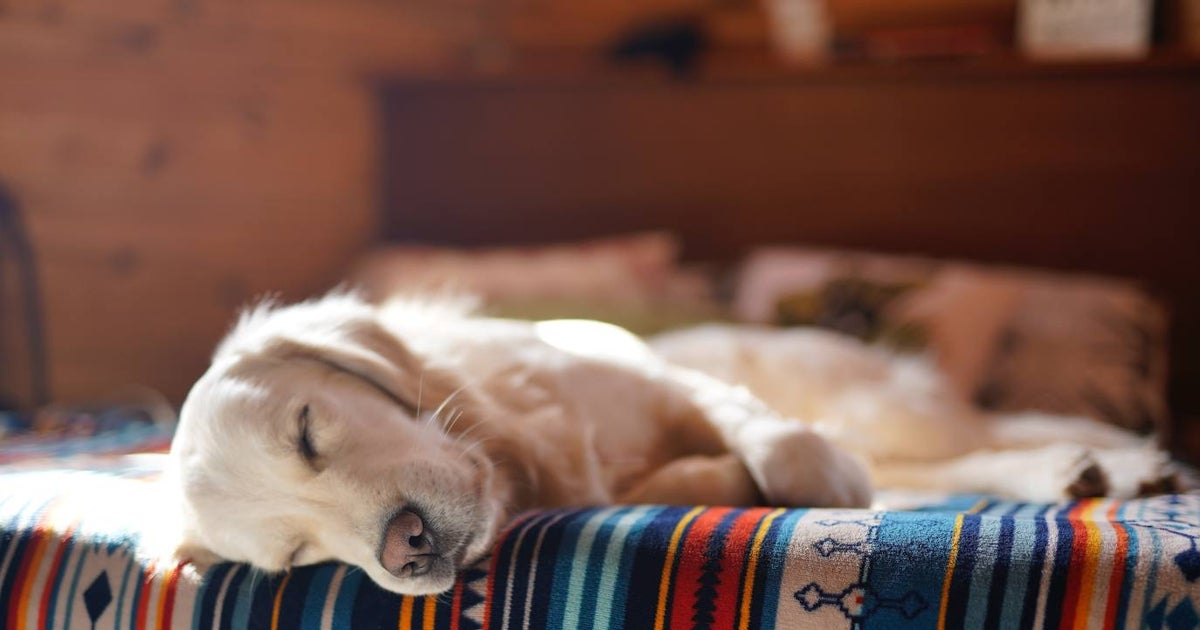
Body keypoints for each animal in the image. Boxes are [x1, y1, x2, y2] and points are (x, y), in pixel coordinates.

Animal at [164, 292, 868, 592]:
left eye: (305, 432)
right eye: (295, 555)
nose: (405, 549)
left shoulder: (662, 383)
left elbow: (781, 448)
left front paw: (841, 481)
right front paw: (722, 477)